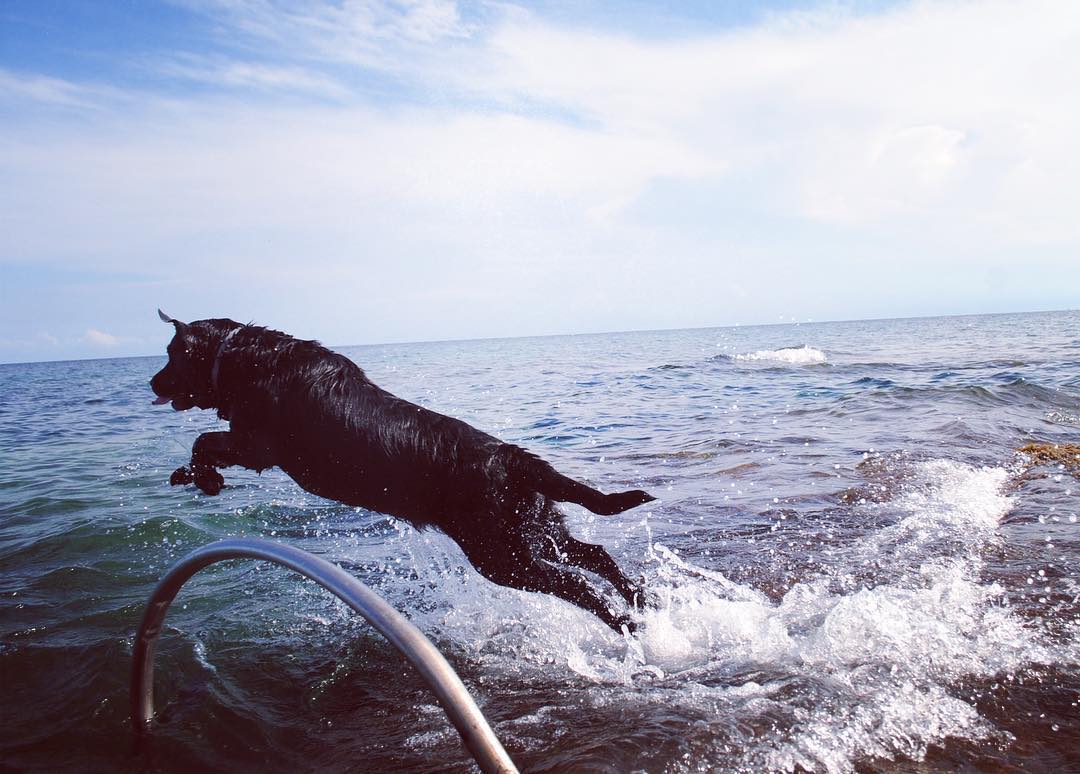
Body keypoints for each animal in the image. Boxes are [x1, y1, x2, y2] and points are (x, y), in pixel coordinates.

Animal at [150, 310, 656, 630]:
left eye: (172, 356)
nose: (152, 382)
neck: (245, 359)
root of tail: (512, 456)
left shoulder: (257, 445)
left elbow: (205, 442)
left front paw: (202, 477)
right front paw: (194, 476)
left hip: (503, 554)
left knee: (577, 584)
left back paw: (626, 623)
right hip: (535, 528)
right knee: (594, 555)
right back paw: (641, 600)